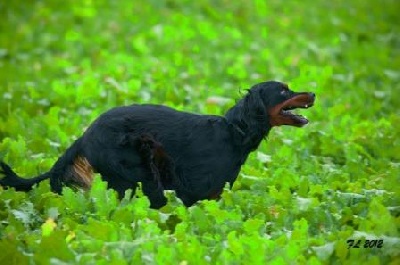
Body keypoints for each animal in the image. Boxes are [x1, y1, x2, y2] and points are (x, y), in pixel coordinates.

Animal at [0, 80, 316, 206]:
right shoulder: (193, 191)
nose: (313, 93)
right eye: (283, 91)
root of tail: (85, 135)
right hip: (139, 174)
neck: (235, 132)